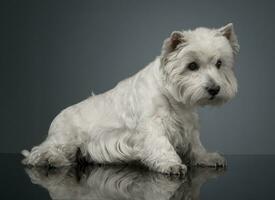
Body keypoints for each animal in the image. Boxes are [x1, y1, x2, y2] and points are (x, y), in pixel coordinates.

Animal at [22, 23, 239, 175]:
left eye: (219, 63)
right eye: (192, 66)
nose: (214, 89)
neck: (174, 97)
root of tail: (57, 118)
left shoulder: (189, 126)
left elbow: (195, 145)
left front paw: (208, 157)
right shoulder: (152, 125)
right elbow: (161, 144)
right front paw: (171, 164)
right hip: (65, 139)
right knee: (38, 152)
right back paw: (51, 159)